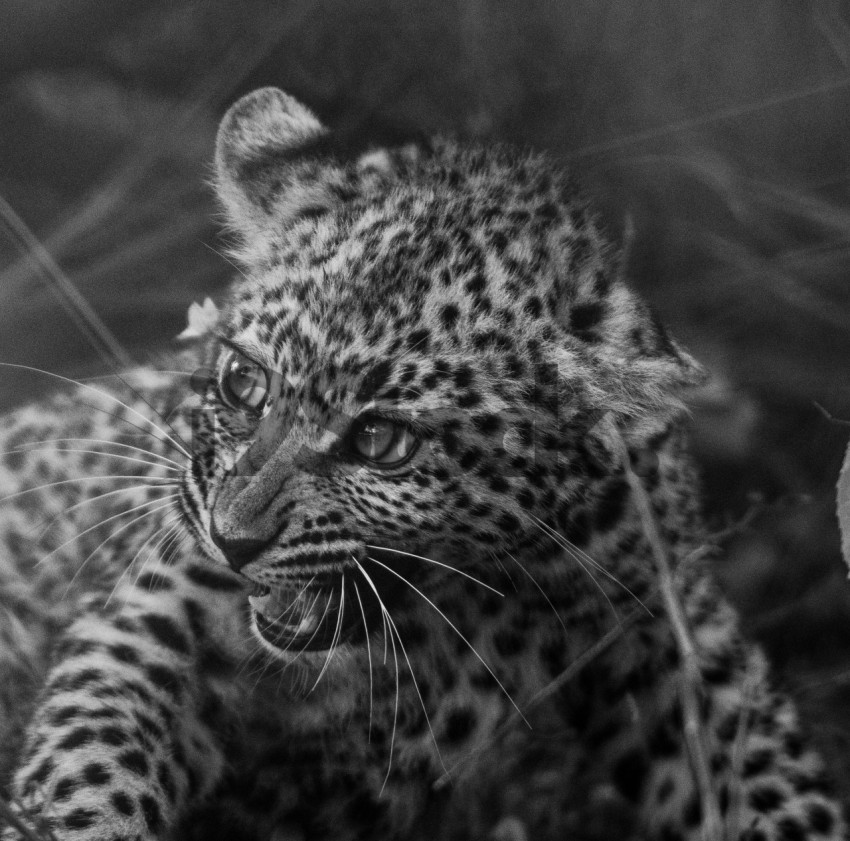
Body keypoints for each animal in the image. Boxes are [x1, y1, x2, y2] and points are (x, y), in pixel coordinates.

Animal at [0, 86, 845, 841]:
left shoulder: (675, 631)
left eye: (382, 441)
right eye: (244, 382)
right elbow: (92, 754)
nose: (232, 540)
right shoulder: (162, 601)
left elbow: (771, 781)